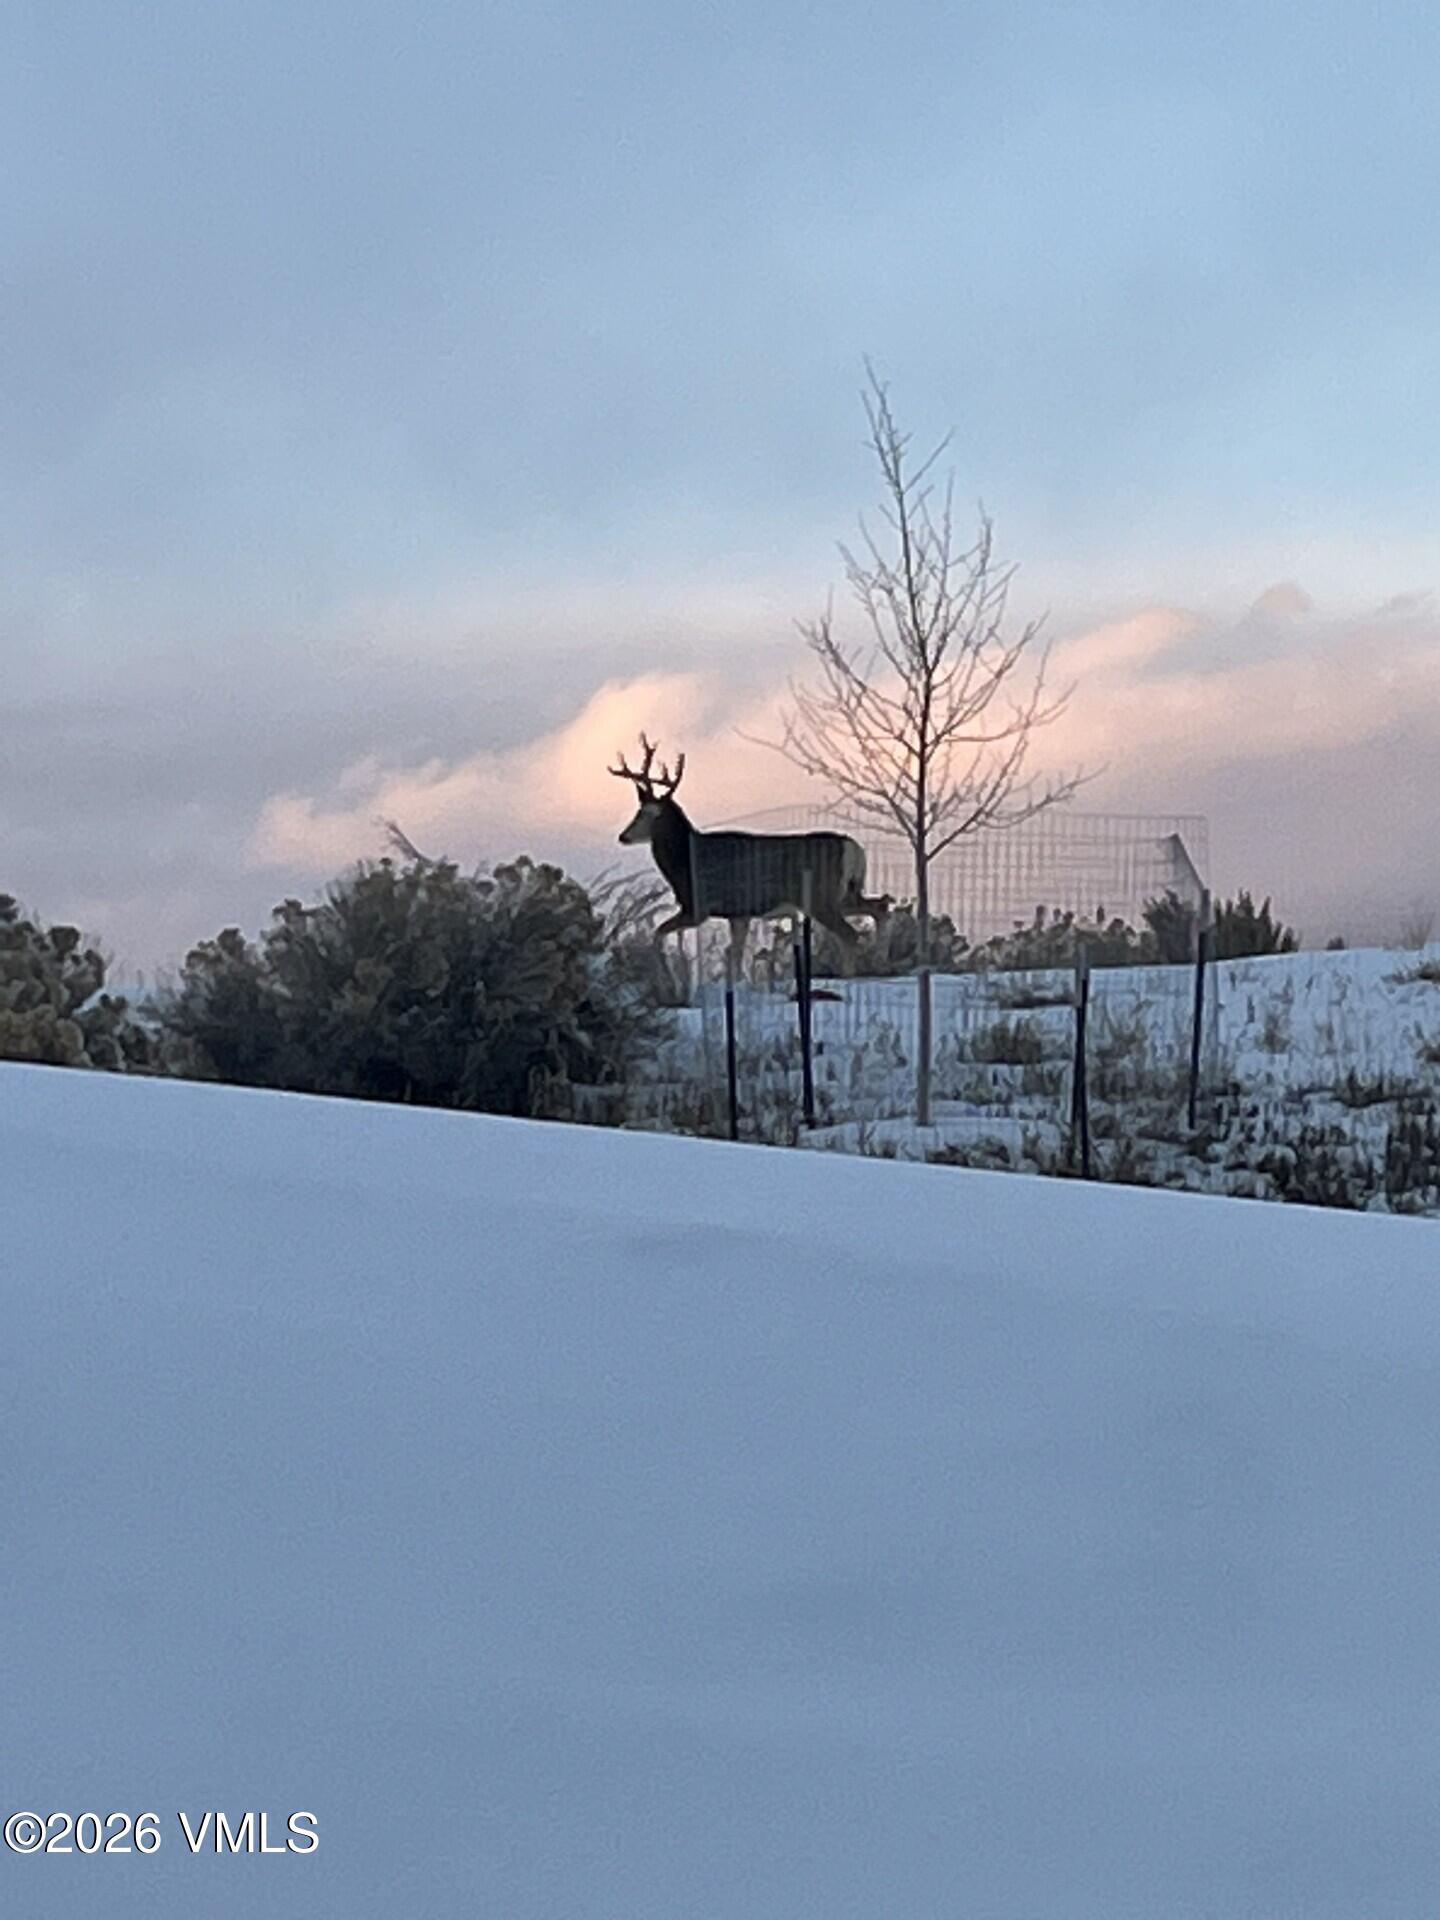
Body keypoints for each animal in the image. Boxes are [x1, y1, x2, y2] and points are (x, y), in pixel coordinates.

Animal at [609, 735, 890, 979]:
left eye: (644, 813)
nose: (623, 836)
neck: (687, 860)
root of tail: (854, 849)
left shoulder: (698, 907)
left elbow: (657, 936)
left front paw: (667, 977)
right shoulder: (739, 914)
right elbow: (735, 956)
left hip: (820, 897)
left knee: (850, 933)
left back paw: (850, 976)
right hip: (845, 894)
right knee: (879, 908)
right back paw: (879, 959)